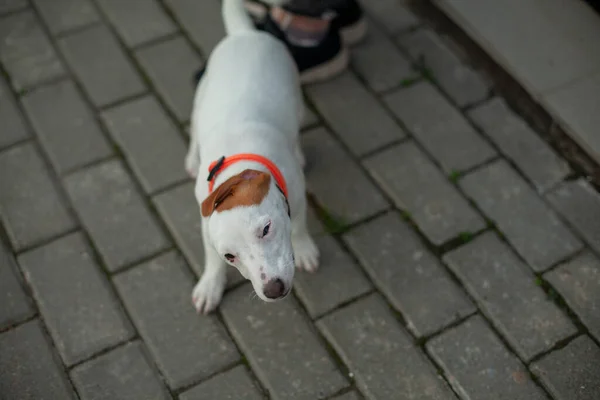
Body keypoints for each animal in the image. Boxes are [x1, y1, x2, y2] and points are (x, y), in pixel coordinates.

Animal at [186, 0, 318, 314]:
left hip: (296, 96)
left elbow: (300, 225)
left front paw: (304, 248)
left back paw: (298, 151)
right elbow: (210, 257)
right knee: (193, 128)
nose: (274, 290)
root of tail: (245, 33)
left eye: (266, 229)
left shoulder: (296, 196)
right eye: (230, 257)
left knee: (296, 130)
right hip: (201, 98)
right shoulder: (206, 225)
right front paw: (210, 284)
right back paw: (191, 158)